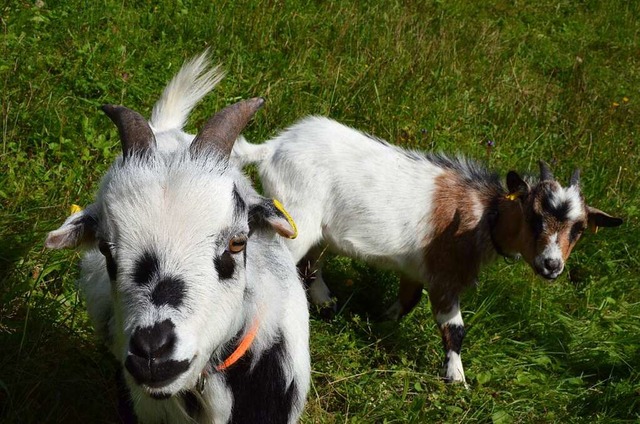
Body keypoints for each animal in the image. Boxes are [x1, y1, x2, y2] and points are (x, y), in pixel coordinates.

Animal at [232, 116, 624, 384]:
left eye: (579, 229)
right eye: (534, 215)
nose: (552, 265)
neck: (484, 214)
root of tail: (272, 149)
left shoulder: (415, 270)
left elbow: (406, 302)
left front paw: (379, 321)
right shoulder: (445, 276)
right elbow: (455, 329)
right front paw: (457, 379)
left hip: (314, 229)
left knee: (312, 263)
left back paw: (325, 301)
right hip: (295, 218)